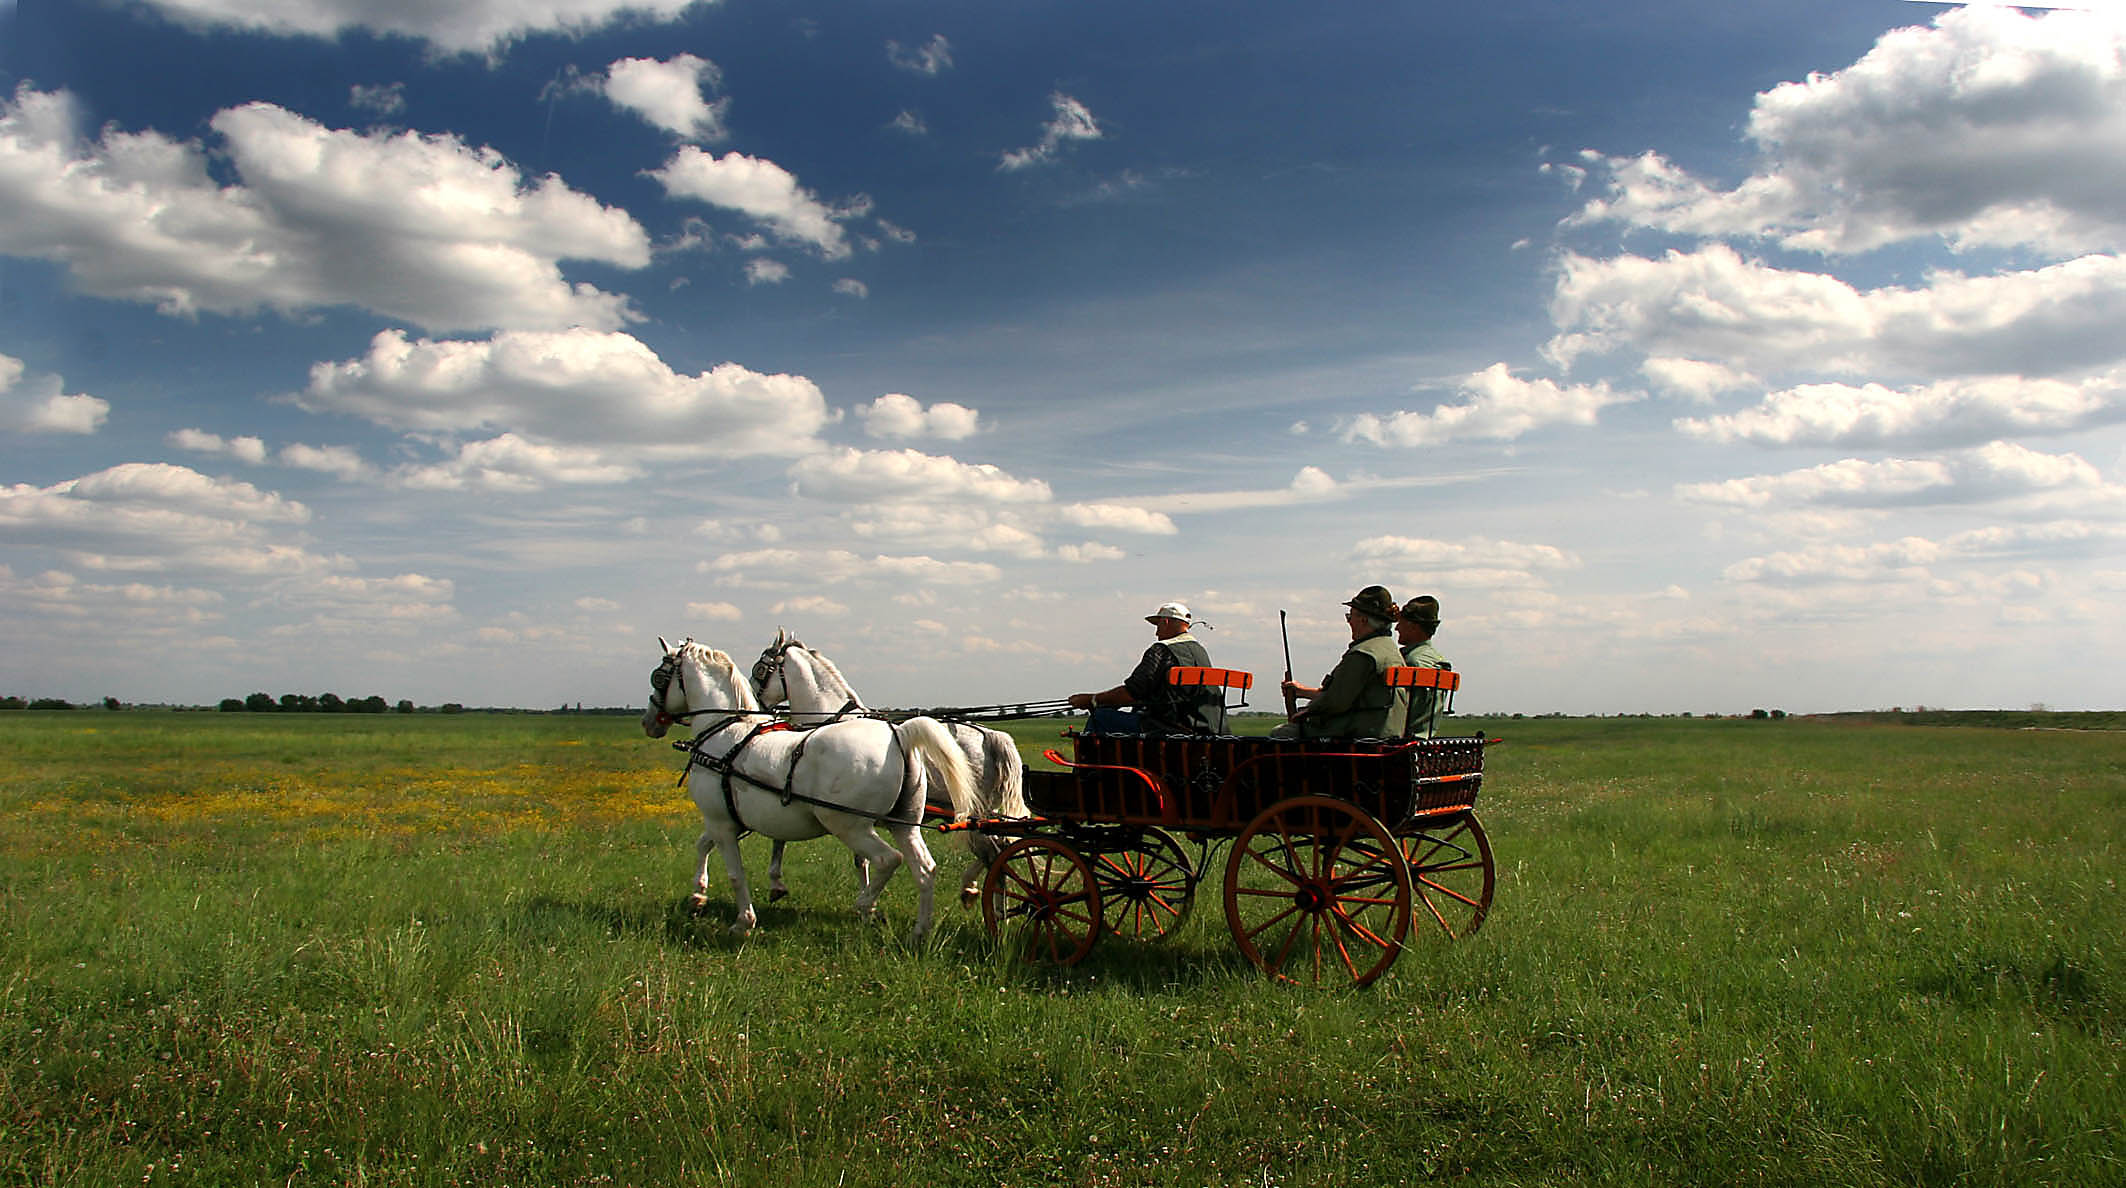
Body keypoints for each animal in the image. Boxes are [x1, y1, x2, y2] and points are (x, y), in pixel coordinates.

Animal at [637, 641, 977, 947]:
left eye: (658, 677)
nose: (648, 720)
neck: (725, 731)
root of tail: (900, 733)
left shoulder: (721, 823)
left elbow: (735, 874)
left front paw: (742, 922)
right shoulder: (724, 821)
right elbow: (702, 844)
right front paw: (698, 895)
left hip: (849, 825)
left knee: (886, 859)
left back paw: (866, 905)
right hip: (903, 824)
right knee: (925, 870)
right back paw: (919, 932)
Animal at [752, 633, 1033, 901]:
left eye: (760, 670)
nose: (758, 706)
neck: (835, 717)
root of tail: (990, 736)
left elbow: (781, 836)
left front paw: (776, 883)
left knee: (995, 855)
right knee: (999, 851)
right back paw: (977, 892)